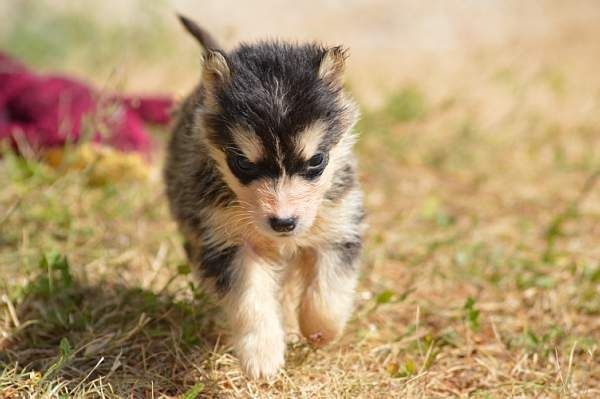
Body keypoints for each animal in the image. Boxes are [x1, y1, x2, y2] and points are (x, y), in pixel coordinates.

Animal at [162, 14, 364, 380]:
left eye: (316, 161)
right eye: (243, 163)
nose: (284, 223)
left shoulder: (338, 225)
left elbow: (327, 290)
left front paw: (320, 330)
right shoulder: (226, 242)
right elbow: (250, 298)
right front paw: (262, 354)